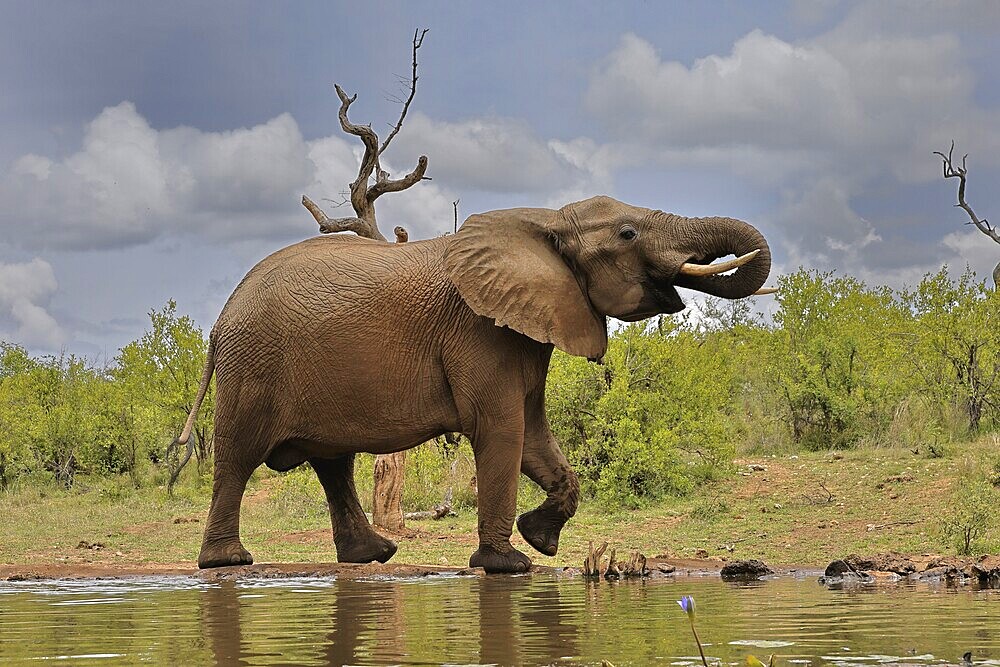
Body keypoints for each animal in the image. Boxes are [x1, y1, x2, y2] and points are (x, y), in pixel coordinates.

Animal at [176, 194, 772, 576]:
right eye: (628, 234)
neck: (548, 222)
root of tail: (220, 320)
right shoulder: (480, 332)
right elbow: (502, 430)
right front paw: (509, 564)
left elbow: (534, 436)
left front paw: (540, 539)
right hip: (252, 368)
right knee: (239, 455)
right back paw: (228, 561)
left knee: (333, 463)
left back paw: (373, 555)